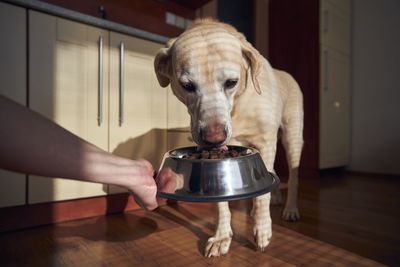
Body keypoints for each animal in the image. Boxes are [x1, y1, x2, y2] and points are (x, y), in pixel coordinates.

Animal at [153, 18, 304, 258]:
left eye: (232, 82)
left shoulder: (265, 142)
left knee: (294, 174)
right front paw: (222, 236)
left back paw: (289, 209)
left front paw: (262, 230)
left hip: (292, 137)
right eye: (187, 86)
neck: (239, 104)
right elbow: (221, 201)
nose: (214, 138)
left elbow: (261, 196)